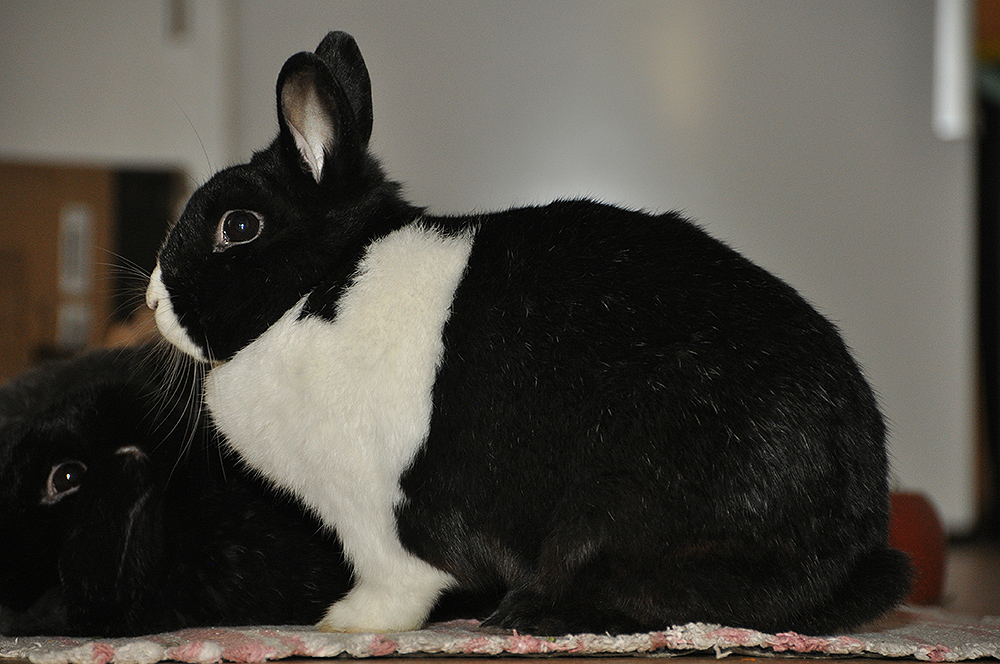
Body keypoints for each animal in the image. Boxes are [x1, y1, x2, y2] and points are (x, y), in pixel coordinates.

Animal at [145, 32, 912, 640]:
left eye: (238, 226)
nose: (151, 300)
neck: (318, 287)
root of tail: (857, 530)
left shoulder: (377, 518)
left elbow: (394, 584)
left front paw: (342, 626)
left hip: (624, 524)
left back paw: (528, 615)